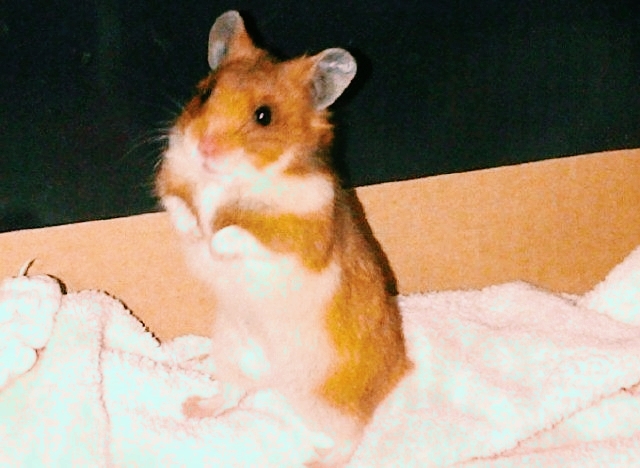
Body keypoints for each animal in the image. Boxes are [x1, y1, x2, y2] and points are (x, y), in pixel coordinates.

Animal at [155, 10, 412, 466]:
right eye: (204, 93)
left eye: (264, 116)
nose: (205, 147)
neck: (225, 178)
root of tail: (401, 369)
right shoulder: (172, 180)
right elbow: (179, 206)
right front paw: (195, 232)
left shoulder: (299, 242)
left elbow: (239, 234)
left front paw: (211, 244)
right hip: (230, 350)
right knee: (233, 393)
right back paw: (193, 407)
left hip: (327, 400)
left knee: (352, 436)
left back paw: (315, 459)